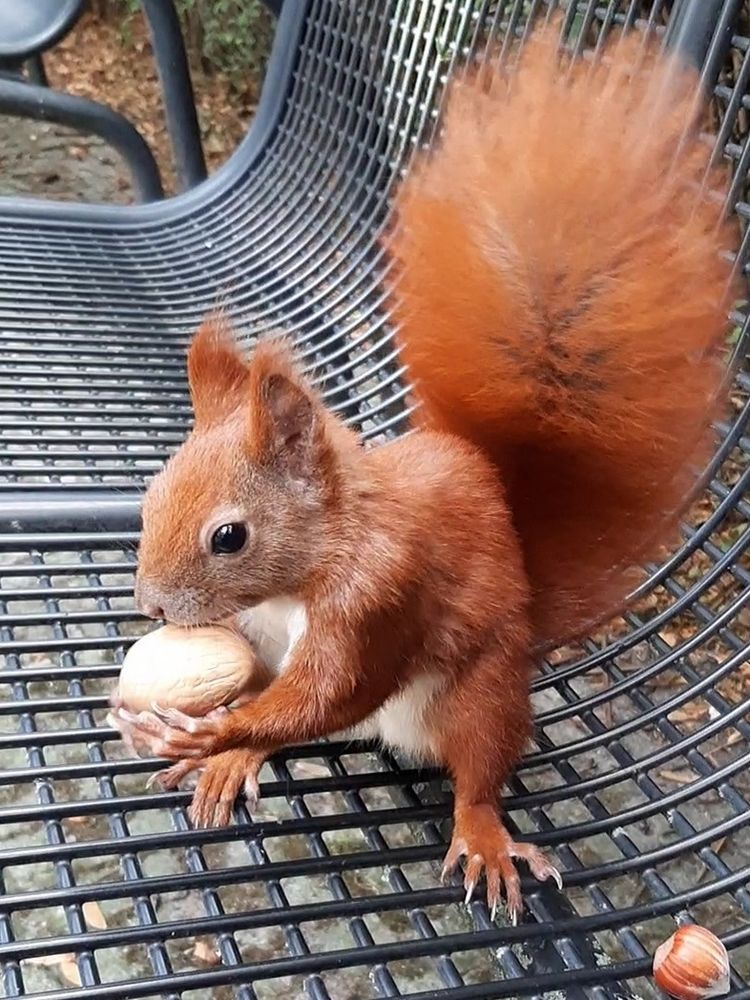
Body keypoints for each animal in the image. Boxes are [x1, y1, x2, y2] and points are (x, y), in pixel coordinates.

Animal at [112, 26, 734, 923]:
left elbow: (328, 690)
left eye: (229, 537)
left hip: (482, 697)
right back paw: (243, 762)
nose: (153, 605)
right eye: (151, 495)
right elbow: (279, 697)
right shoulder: (267, 634)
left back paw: (480, 832)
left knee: (475, 771)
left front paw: (212, 732)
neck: (311, 566)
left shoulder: (381, 598)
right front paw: (216, 735)